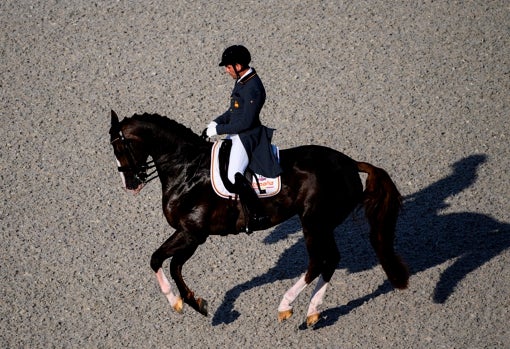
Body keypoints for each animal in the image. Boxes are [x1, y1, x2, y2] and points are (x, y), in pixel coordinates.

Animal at [109, 109, 408, 326]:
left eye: (121, 148)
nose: (130, 184)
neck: (186, 168)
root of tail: (349, 163)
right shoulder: (189, 235)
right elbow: (161, 261)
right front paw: (185, 302)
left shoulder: (193, 234)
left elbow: (167, 263)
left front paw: (187, 302)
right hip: (323, 225)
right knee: (330, 260)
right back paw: (312, 312)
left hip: (313, 223)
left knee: (317, 262)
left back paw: (286, 306)